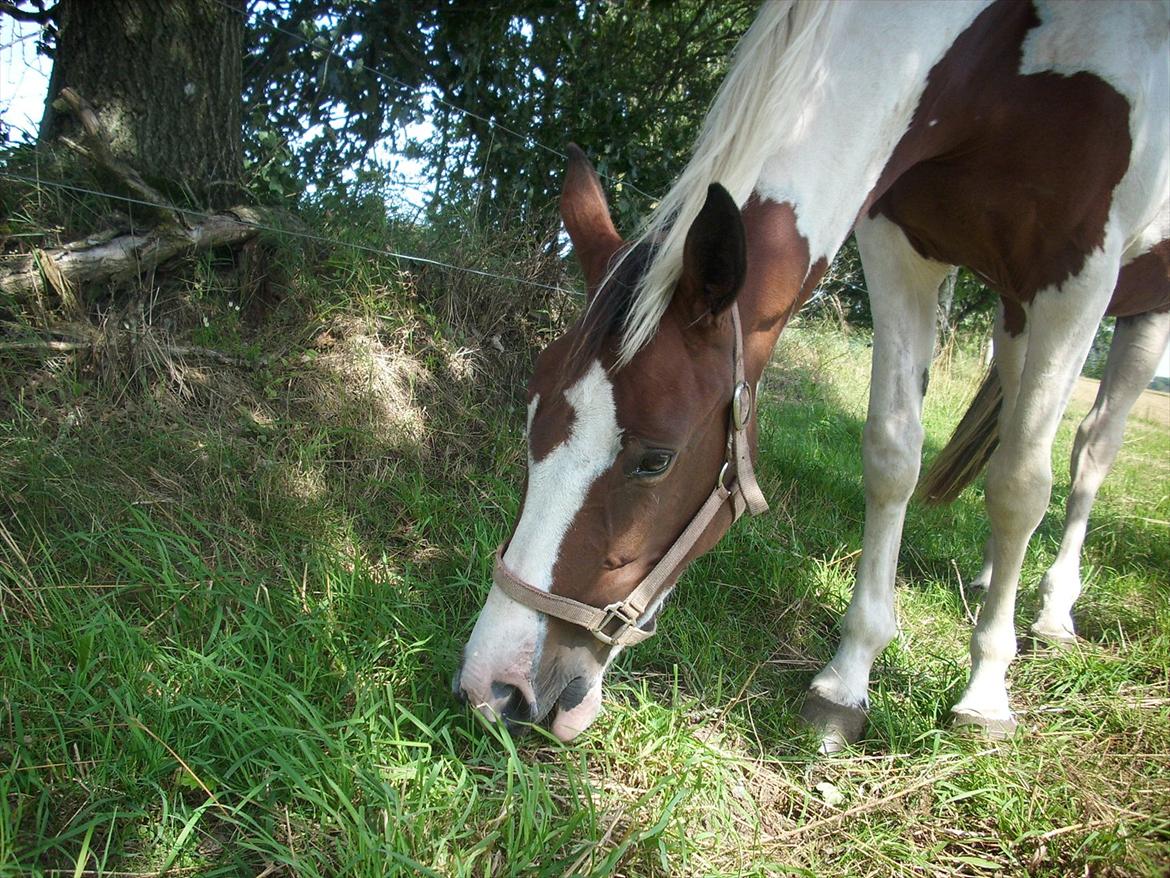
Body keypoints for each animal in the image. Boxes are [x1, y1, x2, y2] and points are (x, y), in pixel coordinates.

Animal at [449, 1, 1170, 758]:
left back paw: (1054, 610)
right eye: (533, 422)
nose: (492, 688)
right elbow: (892, 456)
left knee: (1089, 450)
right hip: (1014, 310)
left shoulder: (1082, 268)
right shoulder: (902, 245)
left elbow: (1020, 487)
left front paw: (986, 691)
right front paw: (847, 681)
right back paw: (989, 577)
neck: (996, 61)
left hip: (1137, 310)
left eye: (655, 460)